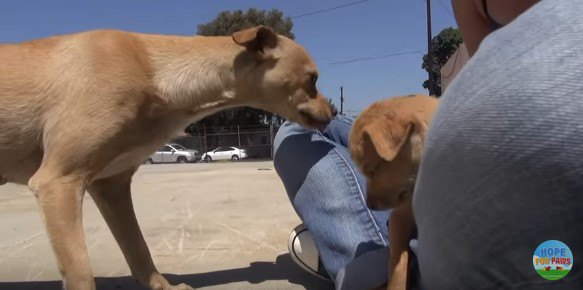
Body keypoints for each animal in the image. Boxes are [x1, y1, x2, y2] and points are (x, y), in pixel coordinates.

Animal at [0, 26, 336, 288]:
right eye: (313, 78)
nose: (333, 112)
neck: (152, 70)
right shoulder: (58, 182)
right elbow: (82, 275)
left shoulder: (111, 186)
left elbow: (138, 249)